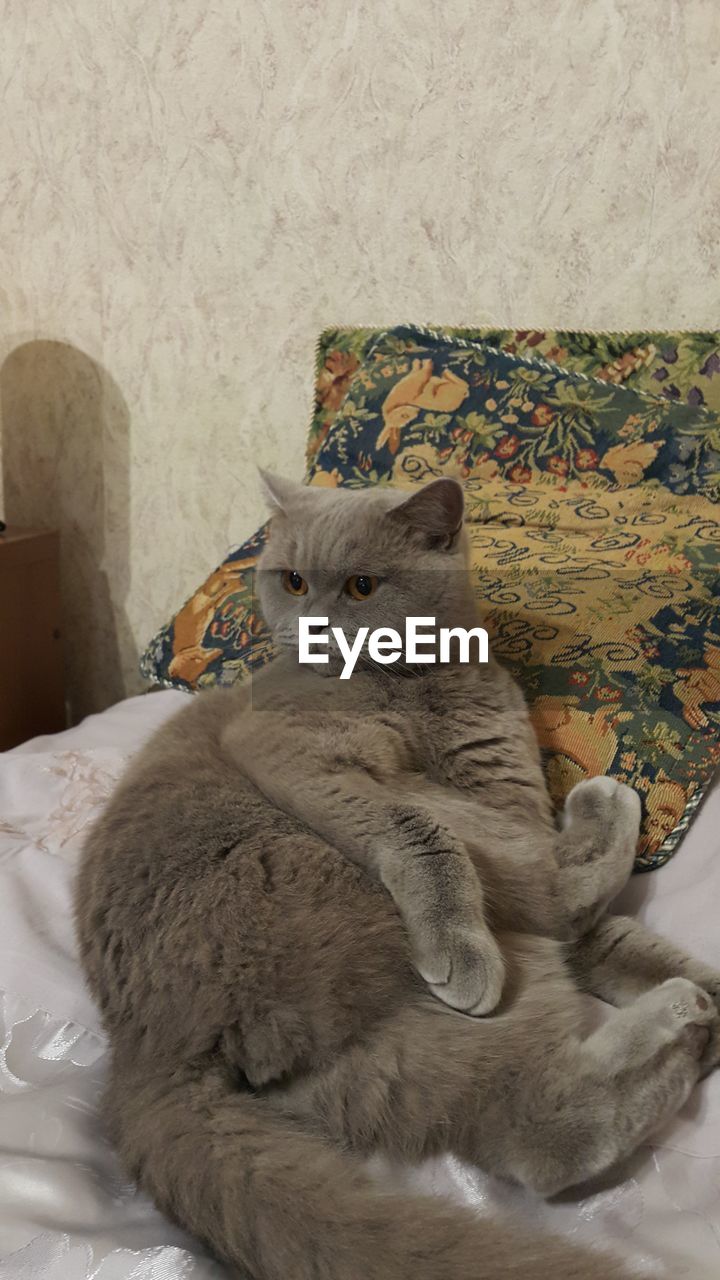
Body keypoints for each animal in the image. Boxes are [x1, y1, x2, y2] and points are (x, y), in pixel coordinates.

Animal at [77, 478, 717, 1280]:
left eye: (361, 585)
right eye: (293, 580)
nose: (315, 624)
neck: (421, 686)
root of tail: (144, 1053)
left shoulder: (499, 793)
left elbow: (611, 938)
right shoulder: (294, 750)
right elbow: (434, 837)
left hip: (376, 1057)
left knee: (527, 1112)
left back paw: (693, 1013)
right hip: (312, 864)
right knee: (539, 1099)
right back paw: (669, 980)